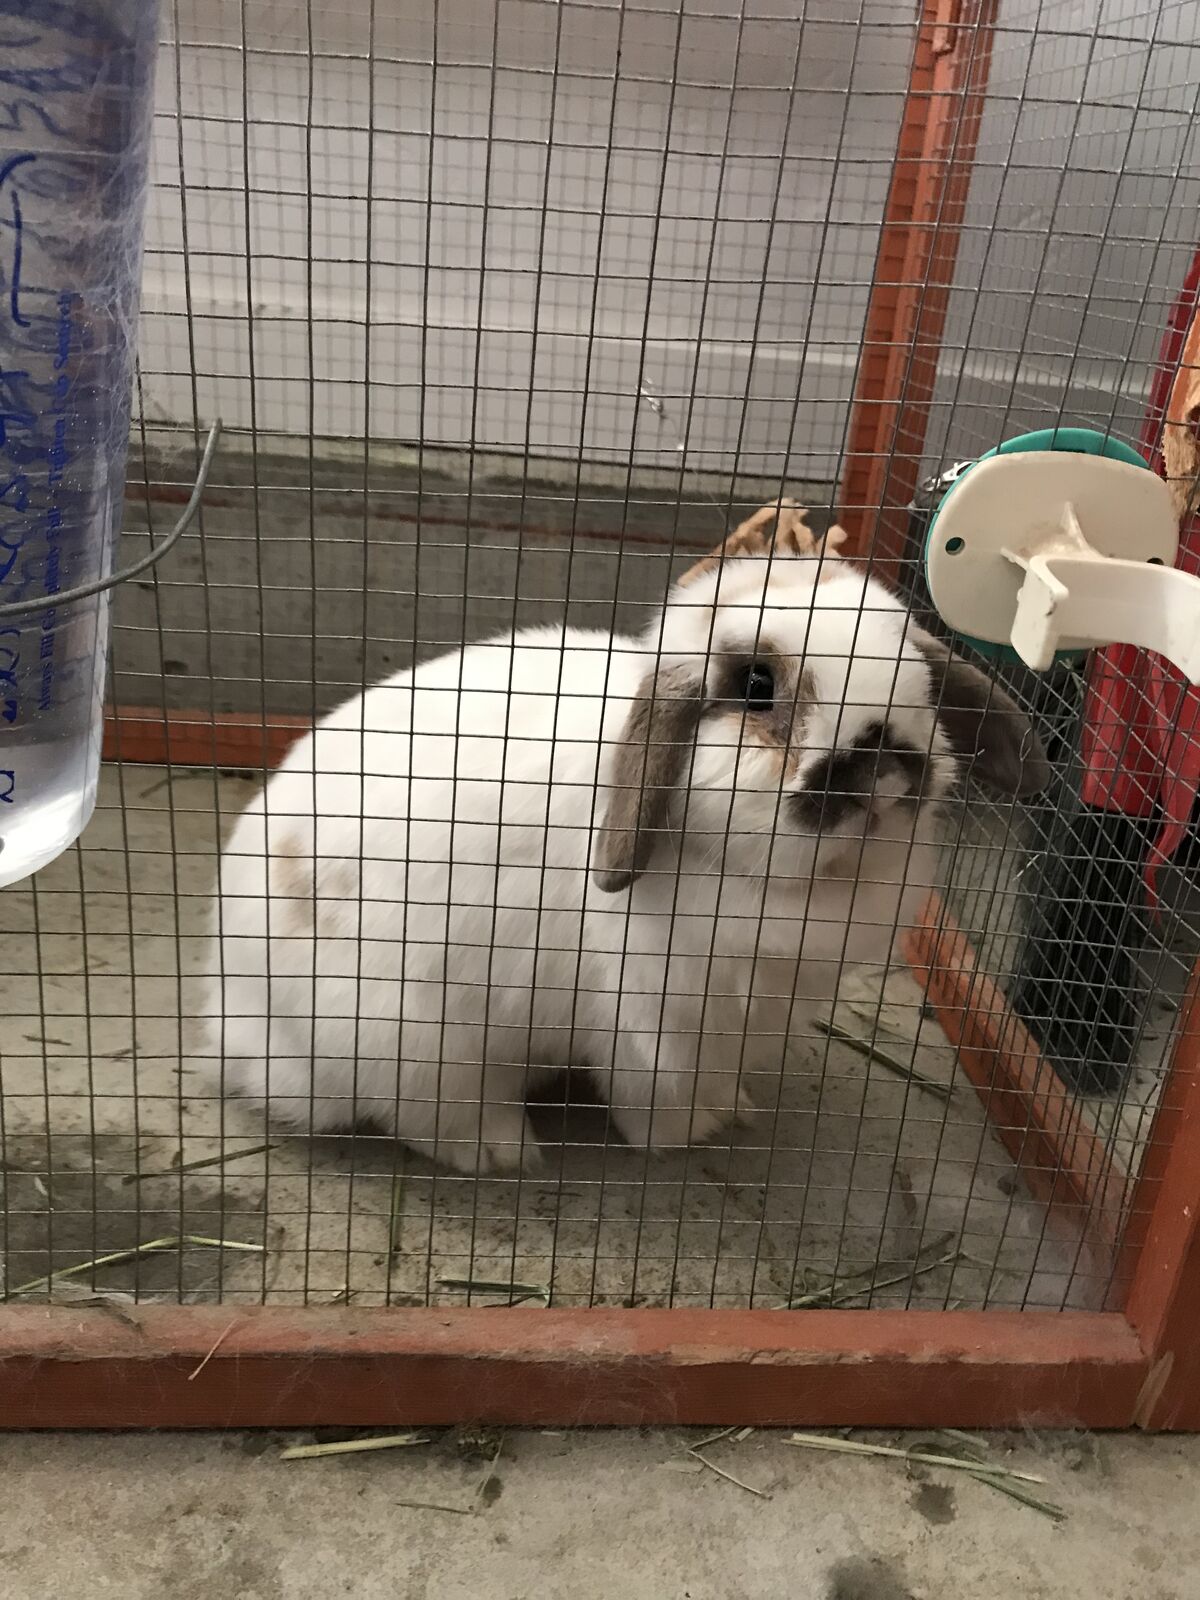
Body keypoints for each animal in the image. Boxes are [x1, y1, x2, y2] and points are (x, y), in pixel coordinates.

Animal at [200, 501, 1048, 1175]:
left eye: (918, 676)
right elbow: (656, 1096)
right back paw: (504, 1150)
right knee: (422, 1113)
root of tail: (229, 1006)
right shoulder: (657, 1017)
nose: (884, 752)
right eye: (756, 686)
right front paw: (692, 1132)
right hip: (411, 1036)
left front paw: (734, 1107)